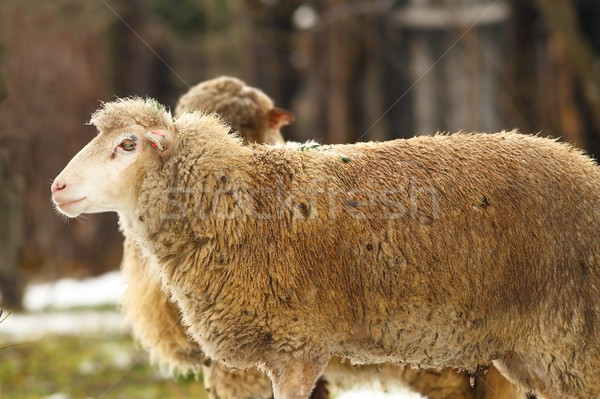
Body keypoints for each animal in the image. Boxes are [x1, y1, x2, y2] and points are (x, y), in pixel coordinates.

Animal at [51, 97, 600, 399]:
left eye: (128, 144)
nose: (57, 188)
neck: (241, 201)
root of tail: (583, 163)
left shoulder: (297, 345)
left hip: (569, 336)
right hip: (527, 354)